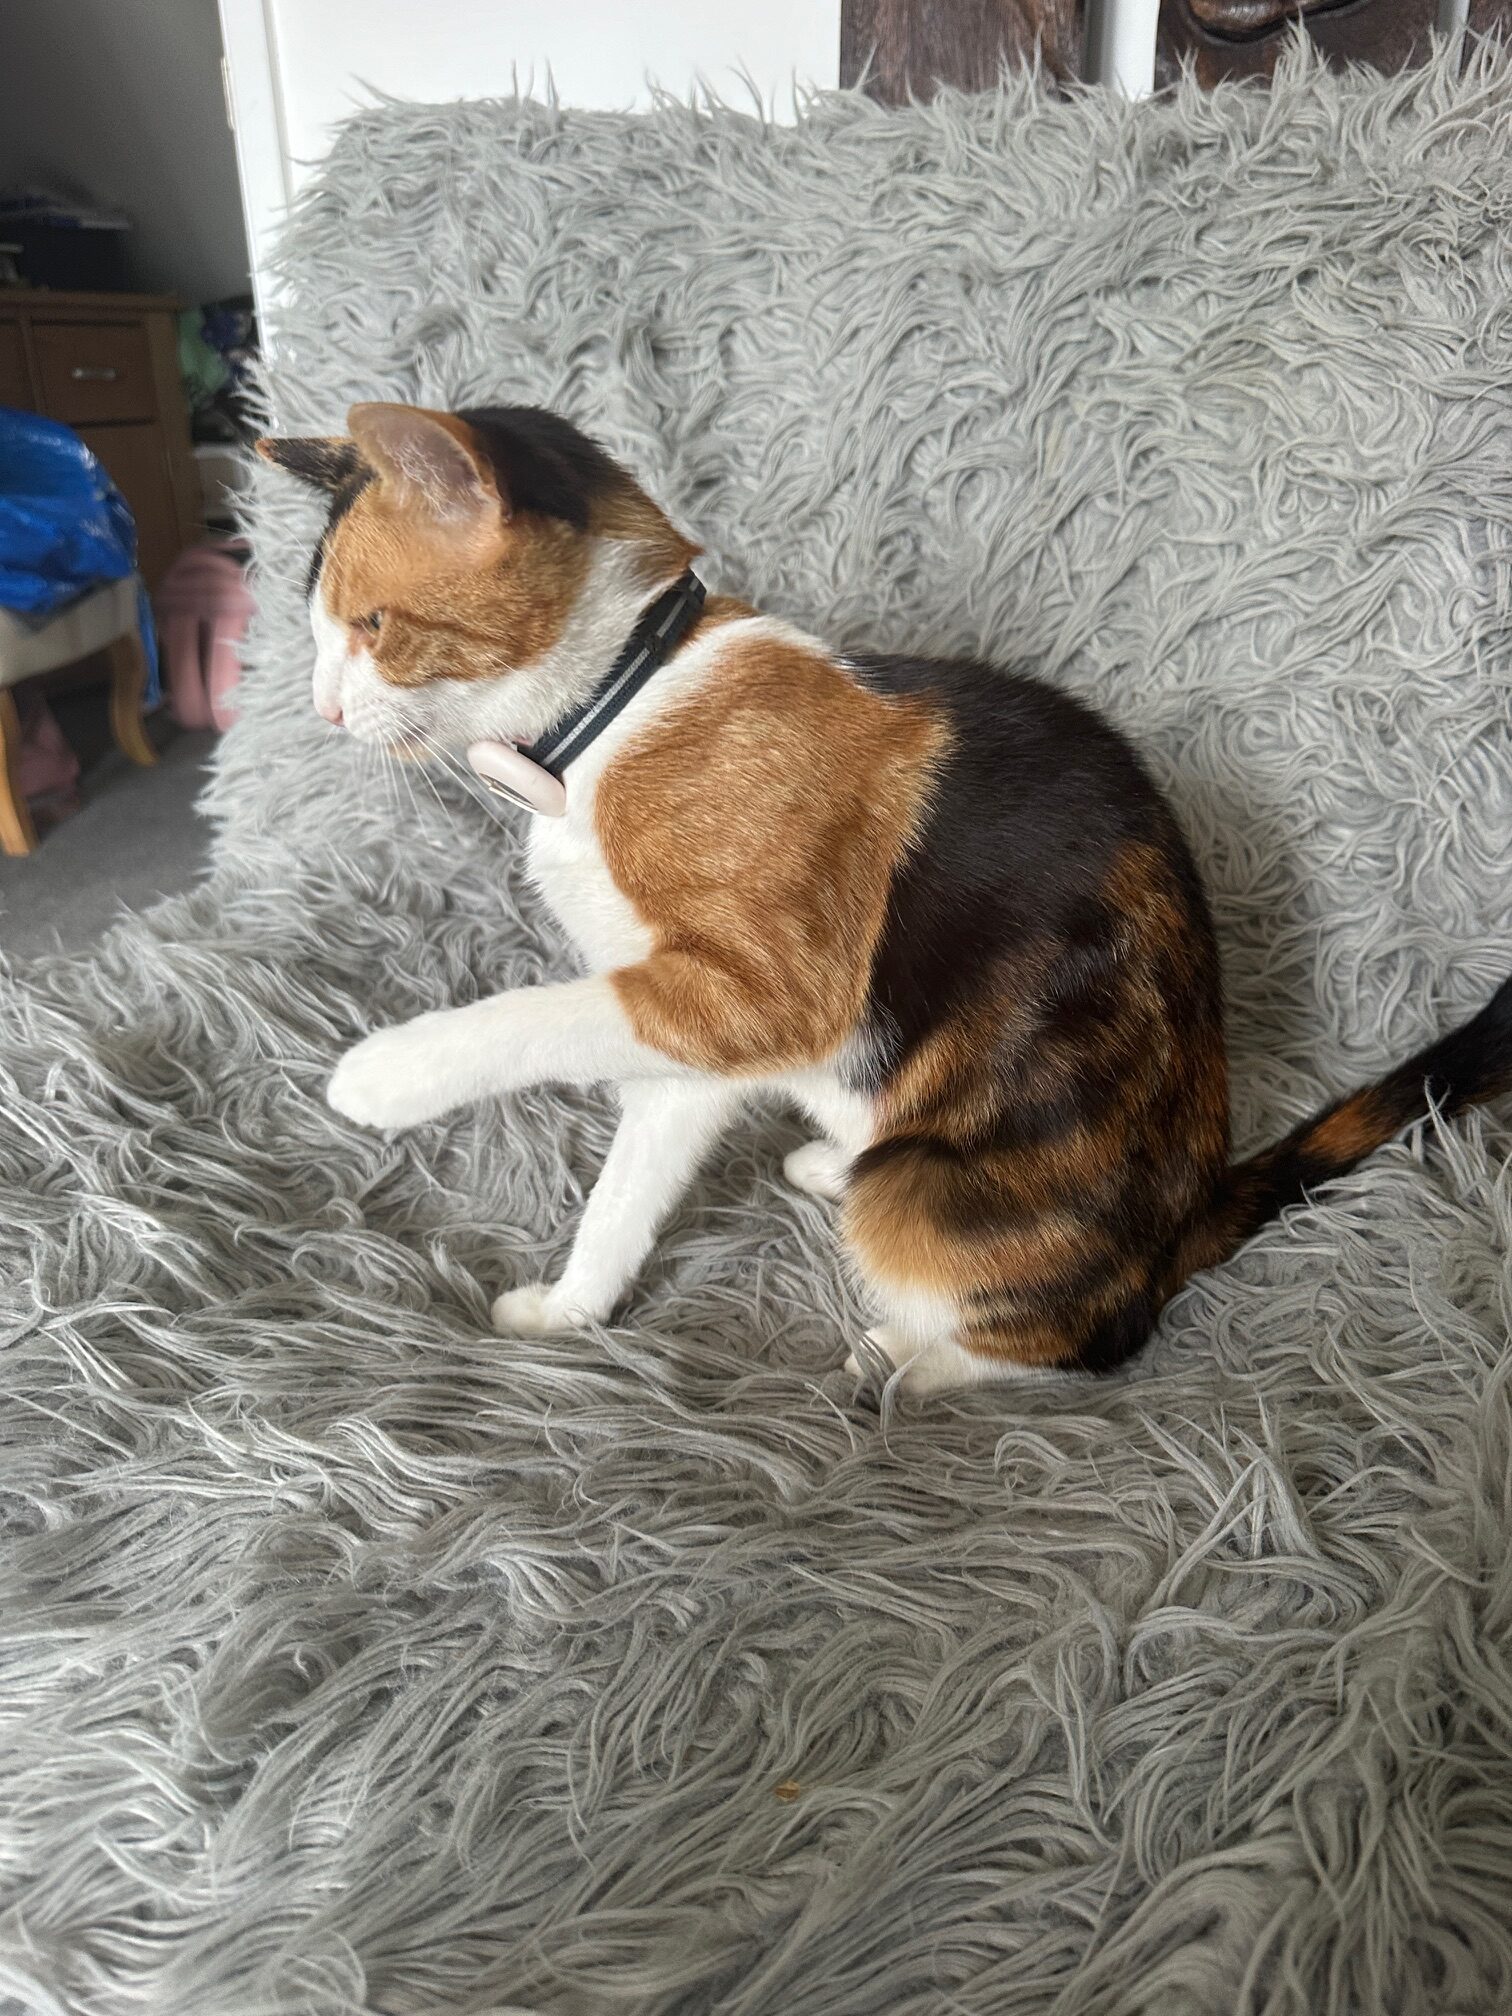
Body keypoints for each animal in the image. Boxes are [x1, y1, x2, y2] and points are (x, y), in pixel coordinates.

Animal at [258, 402, 1512, 1396]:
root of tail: (1189, 1215)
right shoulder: (693, 1044)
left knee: (1092, 1345)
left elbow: (530, 1016)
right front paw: (571, 1311)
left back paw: (908, 1356)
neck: (626, 700)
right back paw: (832, 1165)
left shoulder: (757, 990)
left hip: (931, 1201)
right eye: (322, 634)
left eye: (371, 627)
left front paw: (388, 1073)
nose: (320, 708)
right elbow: (624, 1196)